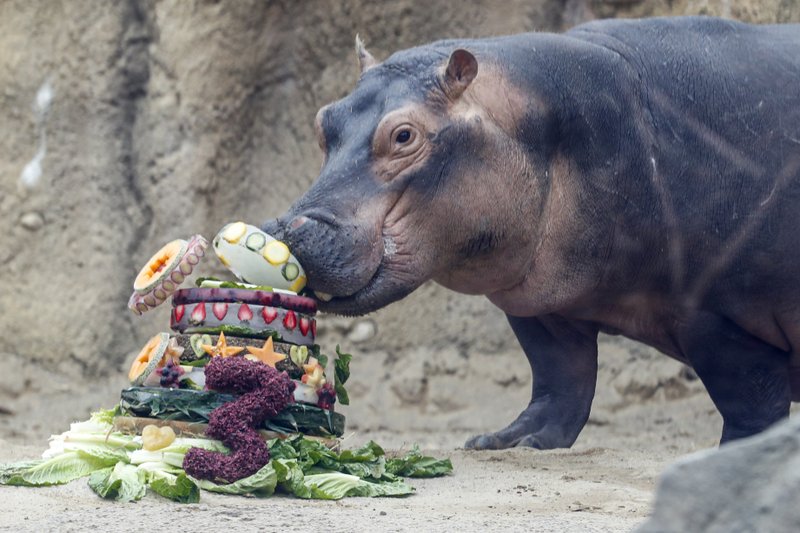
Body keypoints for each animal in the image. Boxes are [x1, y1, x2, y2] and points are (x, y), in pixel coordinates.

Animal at [264, 16, 800, 446]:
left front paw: (739, 456)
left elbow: (749, 402)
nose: (286, 229)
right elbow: (560, 377)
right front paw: (512, 441)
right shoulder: (538, 300)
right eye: (324, 120)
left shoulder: (714, 316)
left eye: (403, 135)